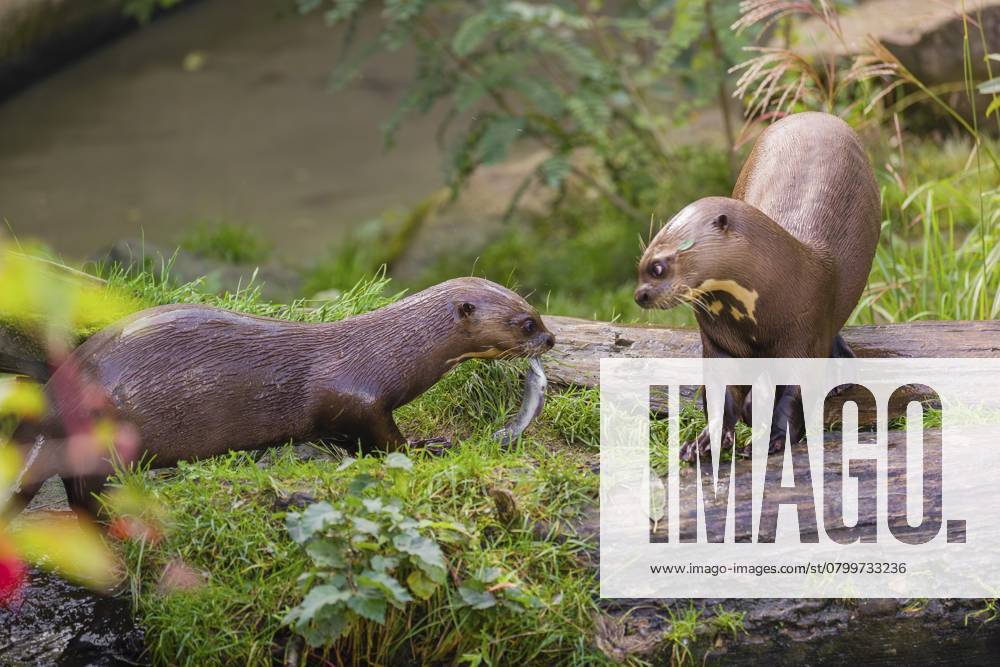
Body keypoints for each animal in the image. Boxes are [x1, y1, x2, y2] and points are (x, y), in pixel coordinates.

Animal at [3, 277, 555, 520]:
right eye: (526, 323)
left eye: (538, 312)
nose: (551, 340)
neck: (387, 351)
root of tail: (53, 395)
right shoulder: (355, 399)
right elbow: (383, 440)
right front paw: (428, 445)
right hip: (105, 423)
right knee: (82, 484)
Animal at [634, 112, 880, 460]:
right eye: (642, 265)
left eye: (658, 267)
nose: (640, 294)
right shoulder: (717, 341)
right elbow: (720, 393)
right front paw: (703, 442)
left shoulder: (803, 334)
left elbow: (793, 394)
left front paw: (774, 440)